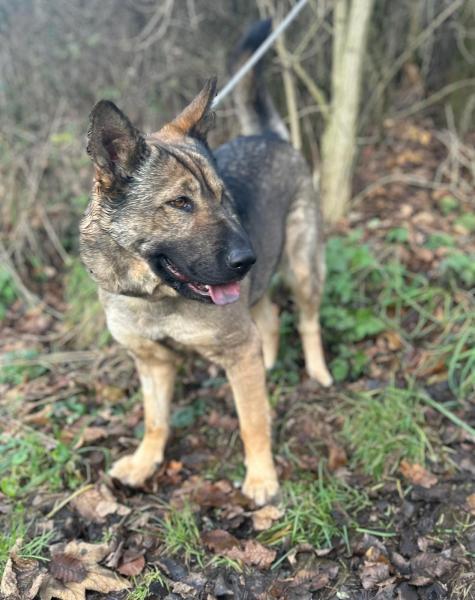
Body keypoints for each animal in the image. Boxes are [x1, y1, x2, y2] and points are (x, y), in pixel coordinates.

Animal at [80, 20, 332, 505]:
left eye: (222, 197)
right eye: (180, 203)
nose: (246, 258)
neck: (154, 297)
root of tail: (271, 137)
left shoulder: (236, 348)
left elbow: (253, 422)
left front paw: (262, 478)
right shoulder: (153, 363)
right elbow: (155, 420)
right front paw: (144, 463)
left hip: (303, 269)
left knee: (307, 321)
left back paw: (318, 371)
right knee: (268, 317)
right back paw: (270, 361)